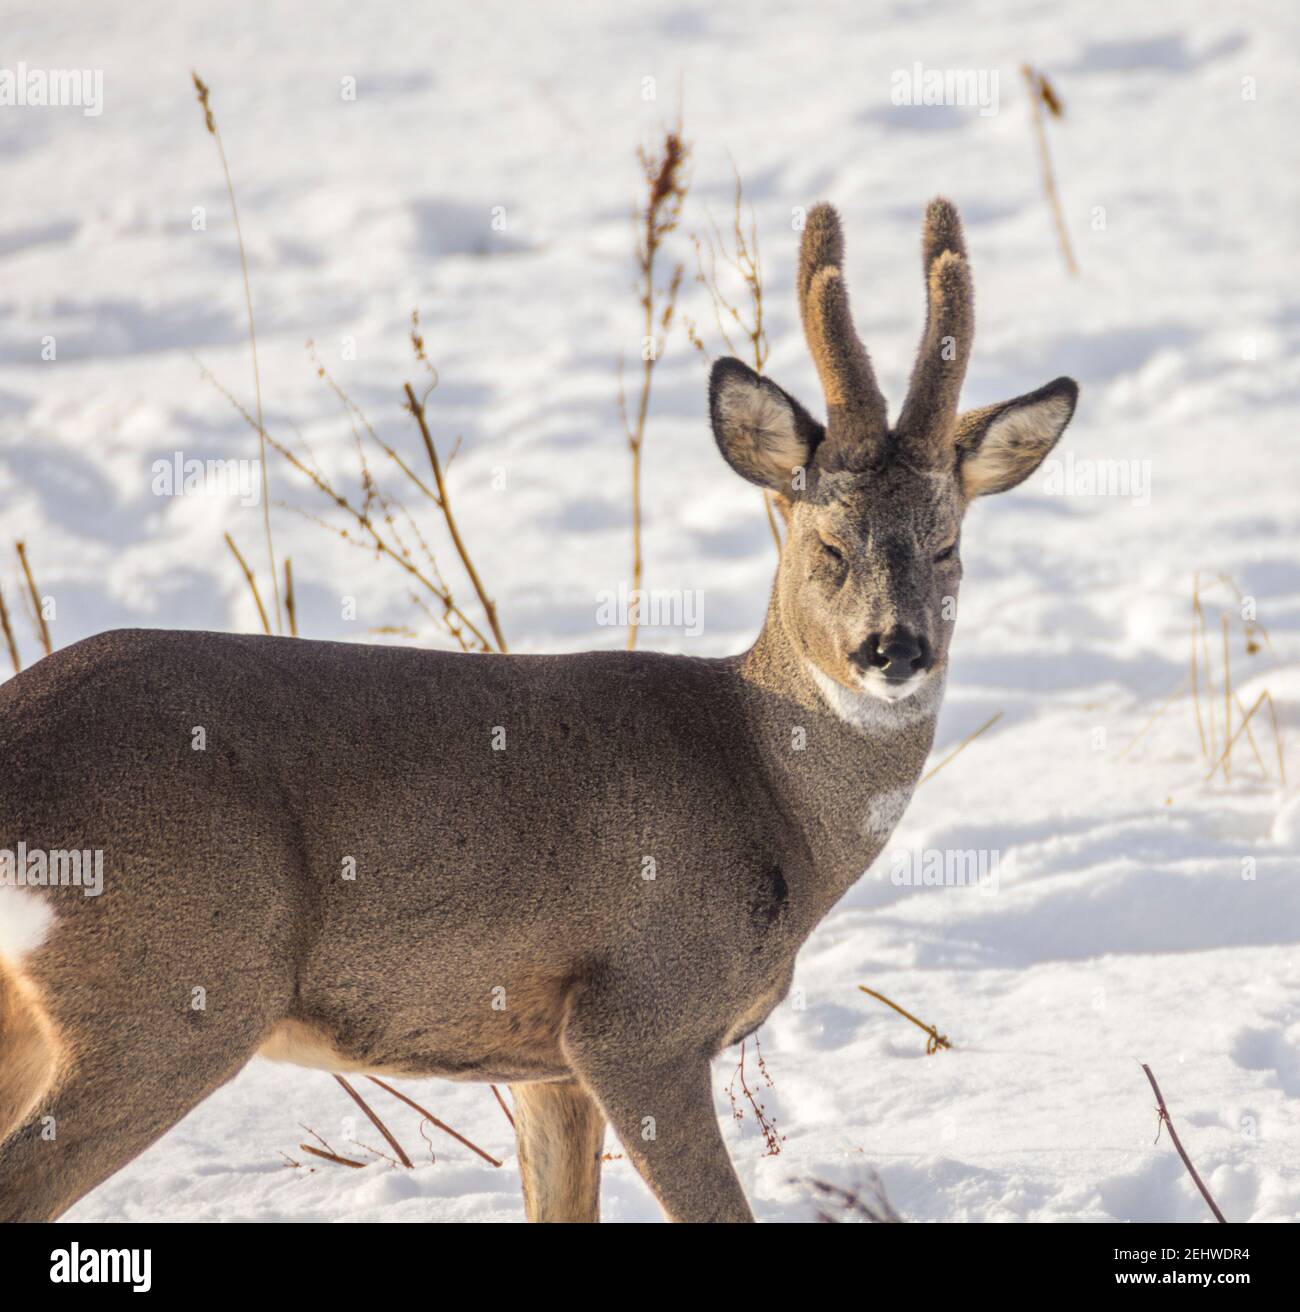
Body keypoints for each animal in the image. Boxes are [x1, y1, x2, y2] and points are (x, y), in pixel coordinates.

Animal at [0, 199, 1075, 1222]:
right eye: (827, 543)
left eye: (947, 544)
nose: (894, 649)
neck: (770, 795)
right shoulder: (636, 1017)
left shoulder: (543, 1060)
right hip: (177, 989)